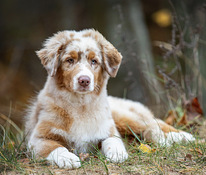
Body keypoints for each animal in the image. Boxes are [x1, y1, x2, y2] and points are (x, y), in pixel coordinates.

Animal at [25, 29, 195, 169]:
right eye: (69, 60)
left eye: (94, 61)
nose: (84, 80)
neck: (80, 106)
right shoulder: (38, 138)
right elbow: (54, 147)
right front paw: (67, 158)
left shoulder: (108, 129)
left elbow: (113, 140)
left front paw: (118, 153)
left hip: (123, 117)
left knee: (153, 124)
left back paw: (182, 136)